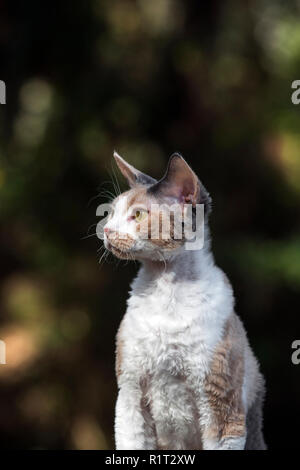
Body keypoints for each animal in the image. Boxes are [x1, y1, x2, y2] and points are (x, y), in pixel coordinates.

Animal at [102, 152, 264, 450]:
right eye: (111, 212)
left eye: (138, 214)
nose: (106, 230)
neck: (166, 289)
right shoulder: (130, 394)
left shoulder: (222, 407)